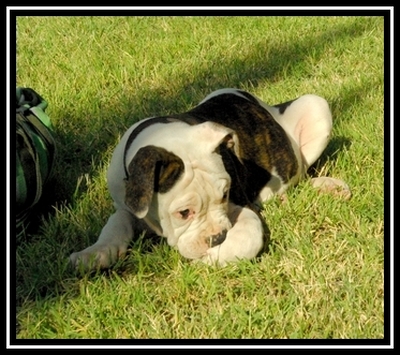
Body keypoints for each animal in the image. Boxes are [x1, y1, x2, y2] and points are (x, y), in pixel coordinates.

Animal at [70, 88, 348, 270]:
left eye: (225, 194)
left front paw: (212, 257)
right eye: (184, 213)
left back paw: (327, 187)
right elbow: (115, 224)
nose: (218, 237)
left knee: (302, 173)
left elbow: (248, 236)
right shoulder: (127, 203)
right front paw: (94, 253)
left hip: (316, 106)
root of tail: (267, 107)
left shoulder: (241, 205)